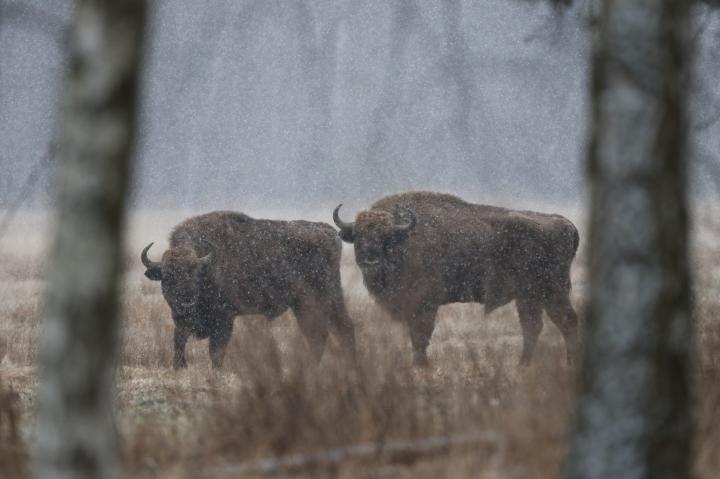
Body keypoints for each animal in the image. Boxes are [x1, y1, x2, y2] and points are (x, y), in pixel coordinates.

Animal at [141, 211, 356, 369]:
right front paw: (180, 367)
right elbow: (179, 342)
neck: (206, 263)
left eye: (194, 274)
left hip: (323, 296)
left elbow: (216, 352)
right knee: (321, 333)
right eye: (167, 278)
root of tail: (329, 232)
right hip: (305, 305)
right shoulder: (180, 322)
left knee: (338, 328)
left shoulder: (224, 319)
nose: (185, 303)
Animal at [333, 191, 579, 367]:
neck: (405, 239)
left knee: (565, 321)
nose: (370, 260)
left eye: (386, 237)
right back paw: (524, 364)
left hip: (550, 291)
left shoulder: (424, 304)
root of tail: (566, 224)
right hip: (530, 296)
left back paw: (566, 363)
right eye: (359, 236)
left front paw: (421, 364)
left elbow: (421, 334)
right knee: (534, 326)